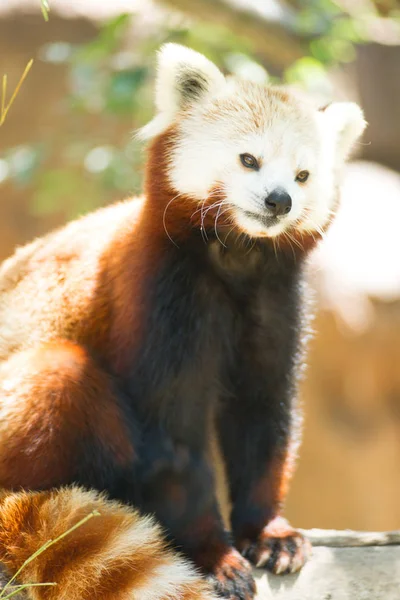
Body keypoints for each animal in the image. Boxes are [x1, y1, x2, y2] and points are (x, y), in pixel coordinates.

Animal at [0, 43, 366, 600]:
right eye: (249, 159)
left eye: (303, 176)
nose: (279, 200)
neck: (237, 260)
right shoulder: (162, 301)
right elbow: (175, 442)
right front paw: (215, 556)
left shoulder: (276, 302)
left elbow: (264, 419)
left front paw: (269, 533)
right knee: (61, 374)